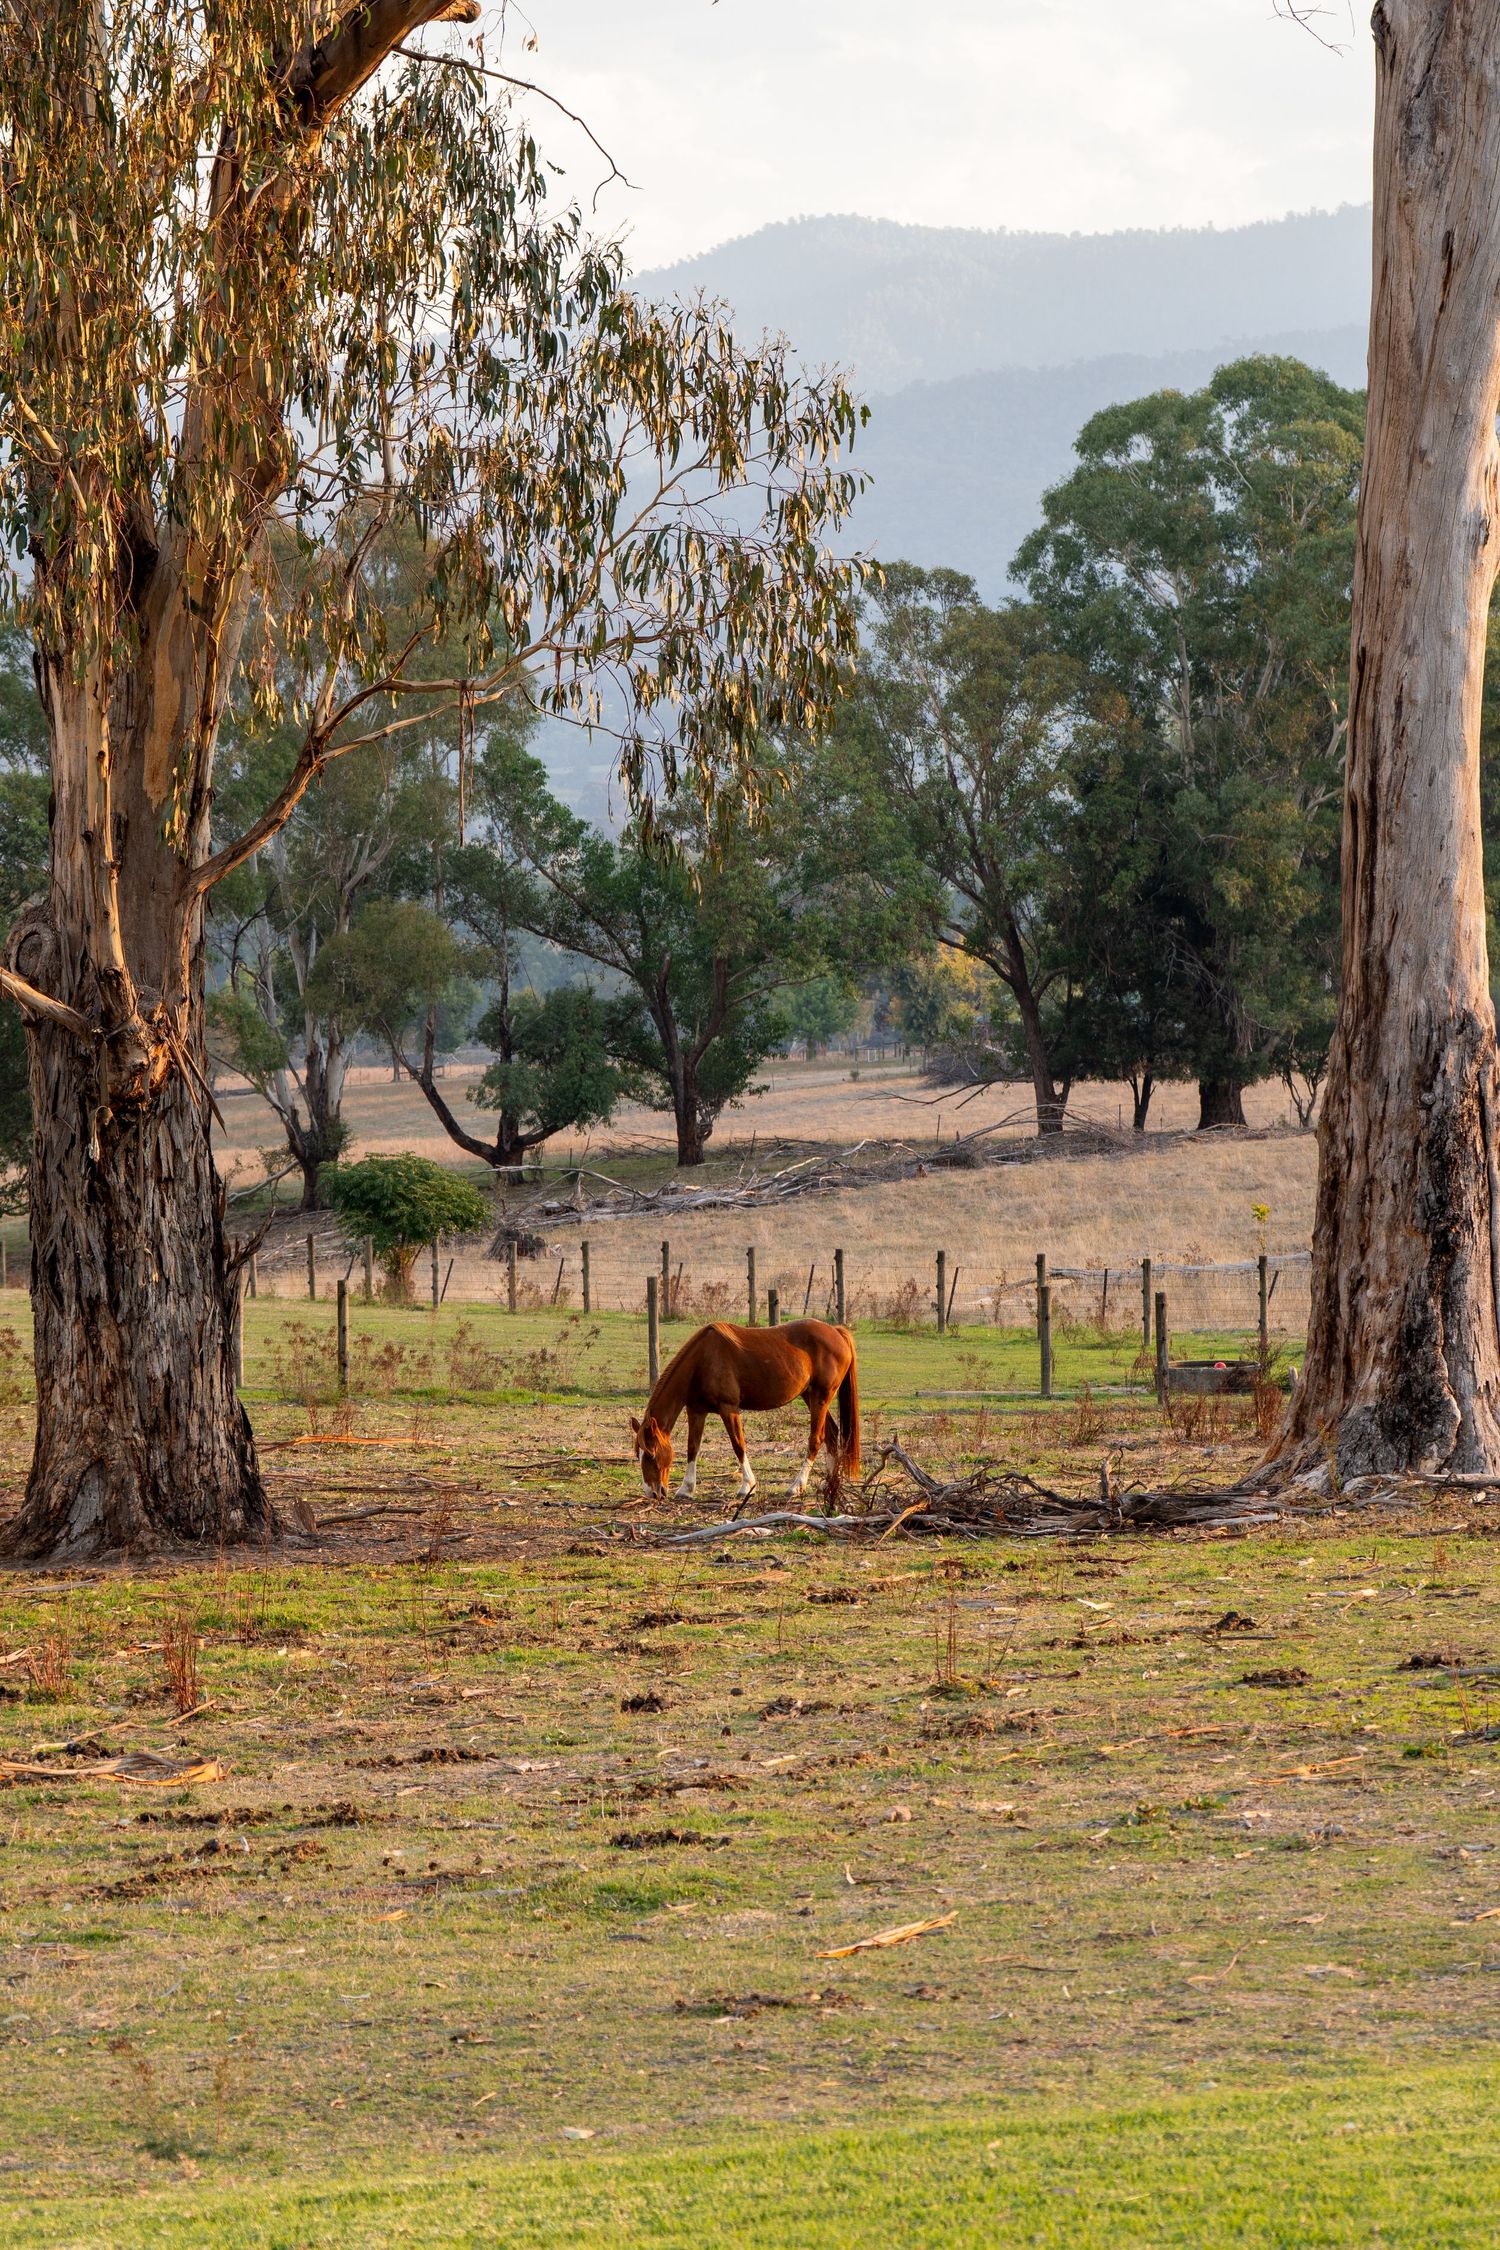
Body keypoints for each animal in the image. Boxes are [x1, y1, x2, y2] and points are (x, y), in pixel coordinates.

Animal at [630, 1319, 860, 1511]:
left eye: (651, 1455)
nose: (652, 1492)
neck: (702, 1360)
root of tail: (836, 1332)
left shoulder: (729, 1408)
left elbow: (738, 1444)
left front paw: (747, 1485)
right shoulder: (696, 1410)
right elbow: (692, 1447)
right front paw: (686, 1489)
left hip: (820, 1397)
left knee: (816, 1439)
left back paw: (796, 1486)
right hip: (810, 1396)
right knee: (831, 1434)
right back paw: (828, 1483)